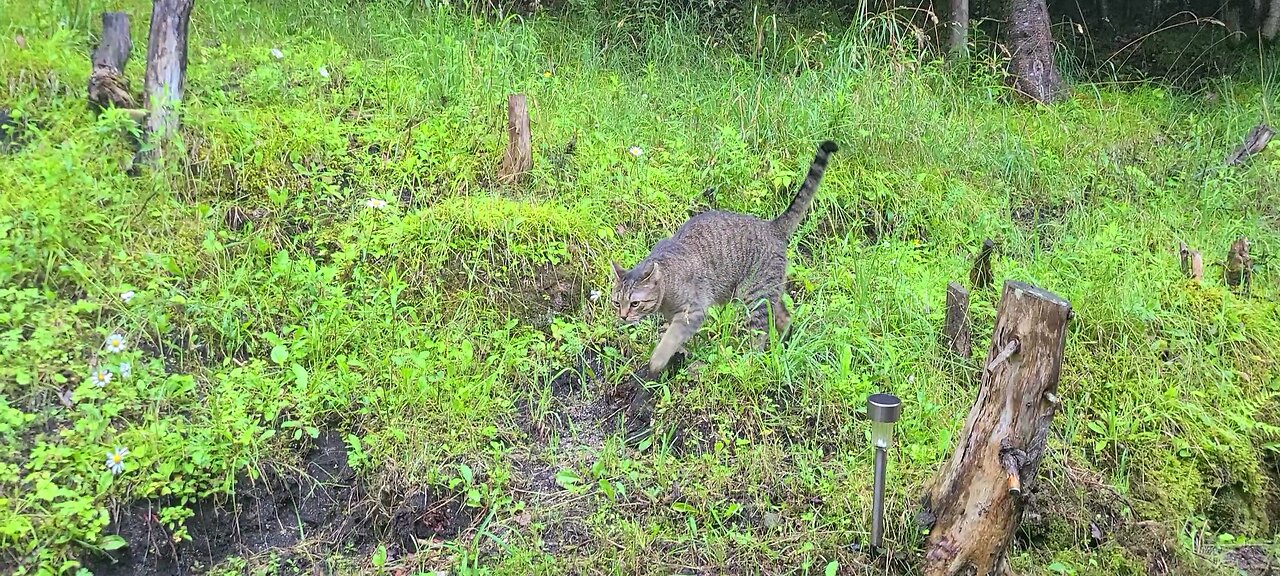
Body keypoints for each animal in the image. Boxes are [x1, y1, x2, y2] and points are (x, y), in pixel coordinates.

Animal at [609, 138, 839, 373]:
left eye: (635, 303)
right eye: (616, 303)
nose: (623, 316)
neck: (667, 289)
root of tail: (772, 226)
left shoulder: (692, 312)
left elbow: (671, 338)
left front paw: (657, 361)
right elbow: (672, 335)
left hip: (754, 297)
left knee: (759, 334)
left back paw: (749, 361)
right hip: (767, 292)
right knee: (783, 316)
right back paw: (783, 347)